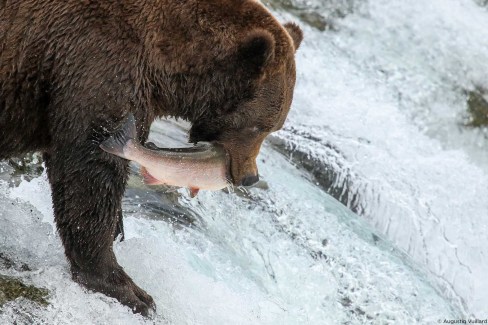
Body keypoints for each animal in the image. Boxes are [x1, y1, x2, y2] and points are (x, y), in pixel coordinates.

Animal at [0, 0, 302, 316]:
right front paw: (130, 290)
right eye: (259, 127)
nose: (249, 177)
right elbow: (90, 173)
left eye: (274, 127)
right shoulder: (101, 69)